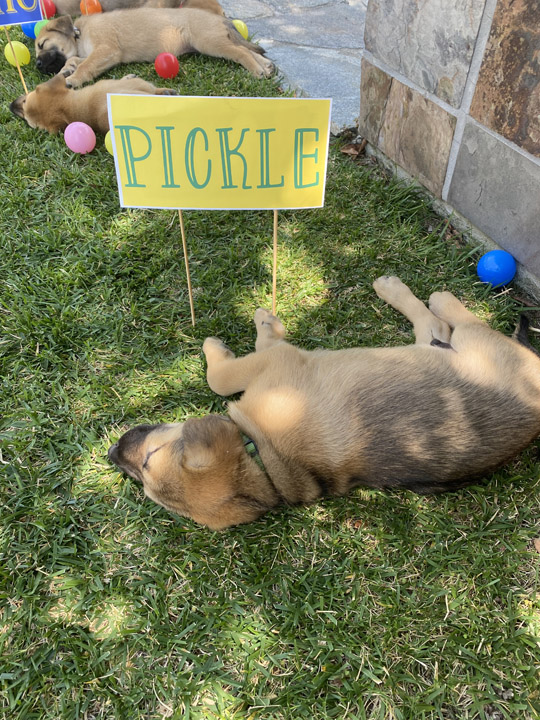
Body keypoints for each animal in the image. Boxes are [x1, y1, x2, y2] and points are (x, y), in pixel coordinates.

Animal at [106, 278, 540, 532]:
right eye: (145, 480)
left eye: (149, 461)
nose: (111, 453)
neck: (262, 458)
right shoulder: (276, 362)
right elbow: (226, 375)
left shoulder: (277, 360)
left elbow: (223, 376)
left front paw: (253, 327)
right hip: (457, 349)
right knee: (440, 325)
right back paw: (408, 291)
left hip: (471, 346)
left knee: (451, 322)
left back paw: (426, 293)